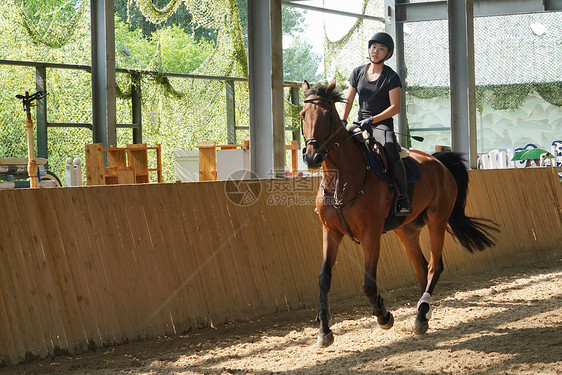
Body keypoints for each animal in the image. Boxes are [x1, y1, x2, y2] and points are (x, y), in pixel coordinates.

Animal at [300, 81, 496, 348]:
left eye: (328, 115)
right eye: (303, 115)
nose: (312, 156)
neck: (342, 179)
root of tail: (437, 161)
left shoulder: (371, 234)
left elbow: (368, 283)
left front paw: (384, 316)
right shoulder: (331, 232)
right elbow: (324, 278)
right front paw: (324, 330)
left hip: (437, 221)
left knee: (434, 266)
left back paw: (421, 314)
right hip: (407, 231)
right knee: (422, 267)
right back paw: (424, 313)